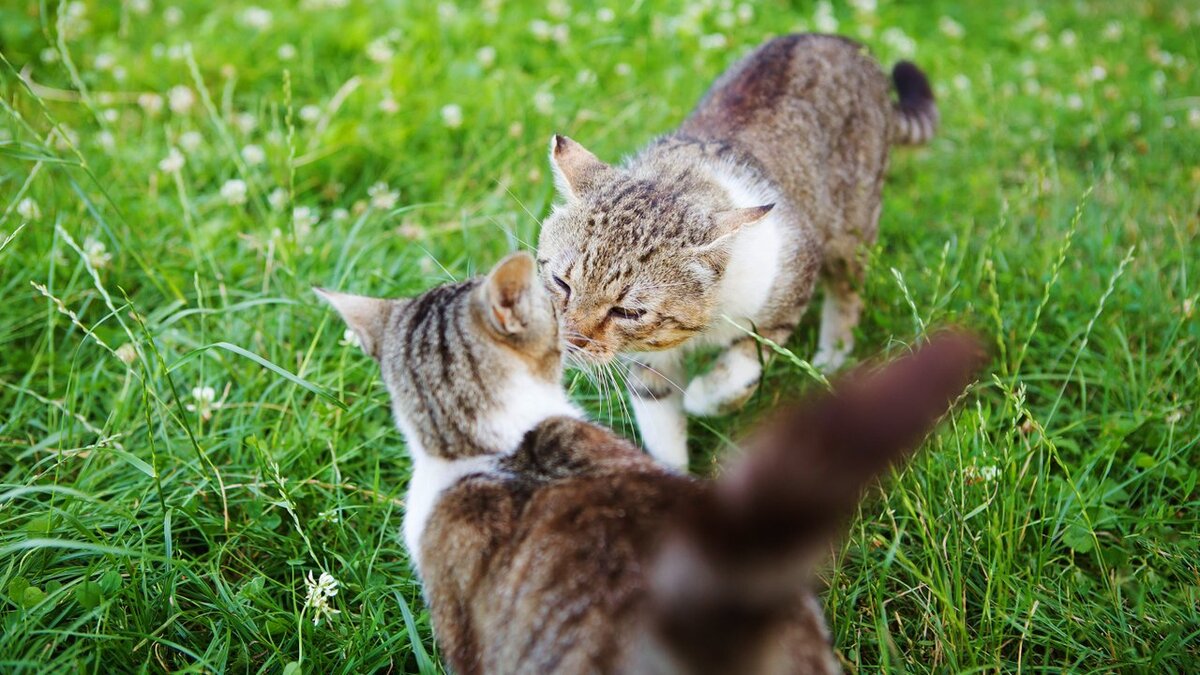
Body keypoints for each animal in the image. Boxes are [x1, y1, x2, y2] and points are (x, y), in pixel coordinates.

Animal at [535, 34, 936, 468]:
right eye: (561, 283)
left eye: (627, 312)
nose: (569, 339)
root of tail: (842, 41)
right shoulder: (649, 359)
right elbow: (659, 416)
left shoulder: (788, 288)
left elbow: (741, 371)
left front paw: (701, 396)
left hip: (852, 227)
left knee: (847, 292)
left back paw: (833, 354)